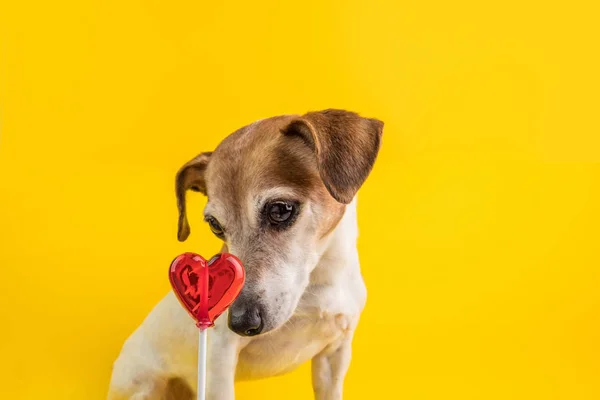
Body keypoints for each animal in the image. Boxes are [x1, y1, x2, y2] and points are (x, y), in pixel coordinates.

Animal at [108, 109, 384, 400]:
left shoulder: (335, 355)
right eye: (215, 225)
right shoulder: (220, 355)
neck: (317, 284)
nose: (239, 322)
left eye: (280, 209)